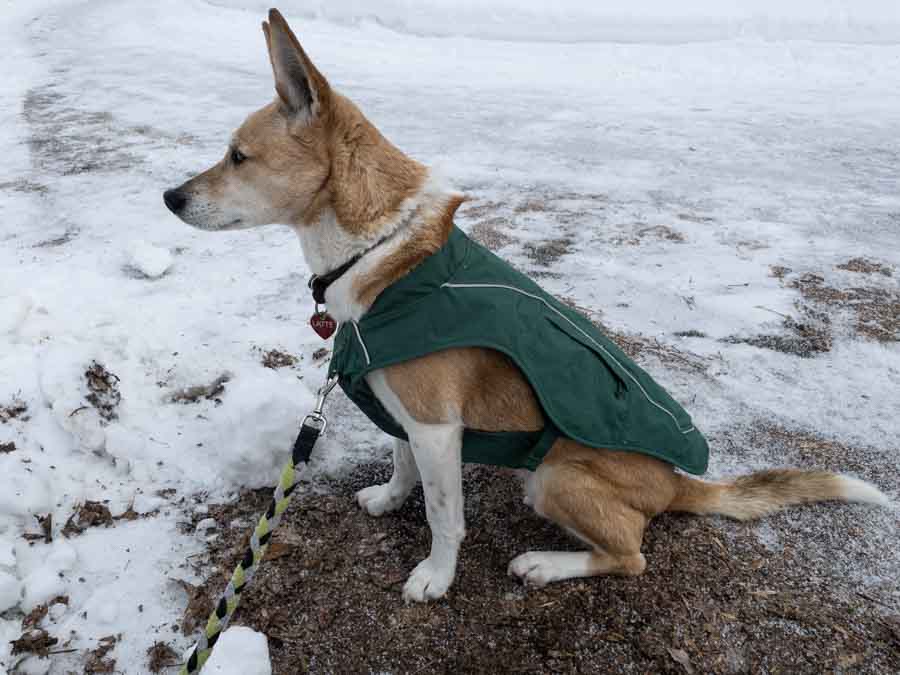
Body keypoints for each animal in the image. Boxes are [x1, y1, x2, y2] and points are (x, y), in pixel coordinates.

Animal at [165, 9, 888, 604]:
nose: (170, 197)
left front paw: (436, 576)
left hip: (553, 478)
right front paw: (390, 498)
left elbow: (445, 514)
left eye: (237, 156)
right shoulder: (405, 413)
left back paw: (545, 563)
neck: (382, 251)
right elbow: (401, 465)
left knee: (631, 555)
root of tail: (682, 482)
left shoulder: (438, 429)